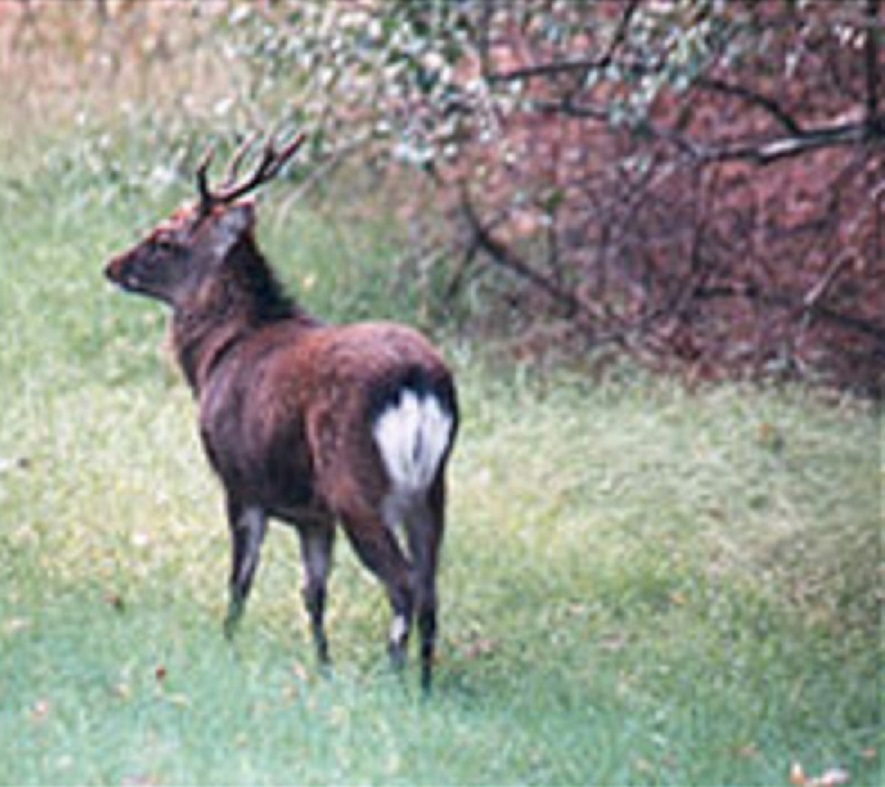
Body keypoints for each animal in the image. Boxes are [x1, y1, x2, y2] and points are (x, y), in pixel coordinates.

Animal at [104, 133, 458, 692]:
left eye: (164, 238)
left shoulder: (239, 480)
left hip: (357, 484)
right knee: (430, 588)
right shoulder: (313, 513)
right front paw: (323, 667)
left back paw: (394, 677)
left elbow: (240, 579)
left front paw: (226, 649)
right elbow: (313, 594)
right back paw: (423, 686)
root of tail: (420, 381)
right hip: (432, 491)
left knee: (403, 583)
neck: (214, 357)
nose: (112, 265)